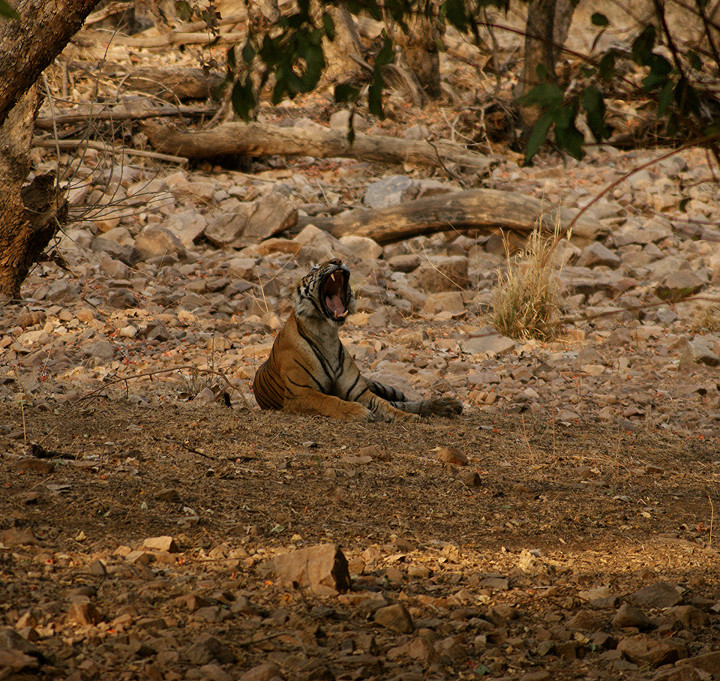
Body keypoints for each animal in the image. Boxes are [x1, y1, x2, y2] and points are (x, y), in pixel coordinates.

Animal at [252, 259, 463, 422]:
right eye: (313, 269)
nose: (337, 260)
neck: (326, 333)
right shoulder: (300, 392)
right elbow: (330, 400)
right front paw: (358, 411)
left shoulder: (359, 391)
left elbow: (386, 405)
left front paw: (406, 418)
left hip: (374, 383)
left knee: (399, 400)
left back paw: (446, 405)